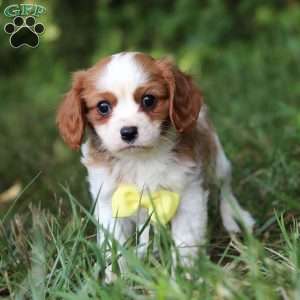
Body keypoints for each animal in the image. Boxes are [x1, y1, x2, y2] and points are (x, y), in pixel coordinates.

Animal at [55, 52, 253, 282]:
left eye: (148, 100)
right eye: (103, 107)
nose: (128, 132)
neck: (140, 159)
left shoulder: (189, 195)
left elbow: (185, 242)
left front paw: (184, 279)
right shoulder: (108, 201)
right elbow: (115, 246)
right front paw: (116, 281)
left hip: (217, 162)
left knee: (224, 189)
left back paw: (236, 219)